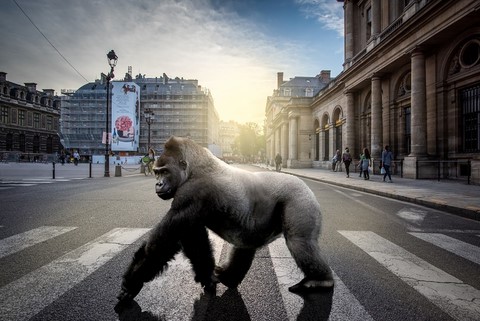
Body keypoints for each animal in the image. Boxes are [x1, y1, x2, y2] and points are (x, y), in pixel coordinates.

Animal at [116, 136, 334, 302]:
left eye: (165, 172)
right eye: (156, 172)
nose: (158, 185)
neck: (194, 166)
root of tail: (306, 185)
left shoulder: (189, 192)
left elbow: (163, 242)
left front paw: (132, 282)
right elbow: (193, 238)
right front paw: (207, 276)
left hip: (299, 198)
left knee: (300, 242)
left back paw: (320, 281)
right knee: (245, 247)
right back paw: (229, 277)